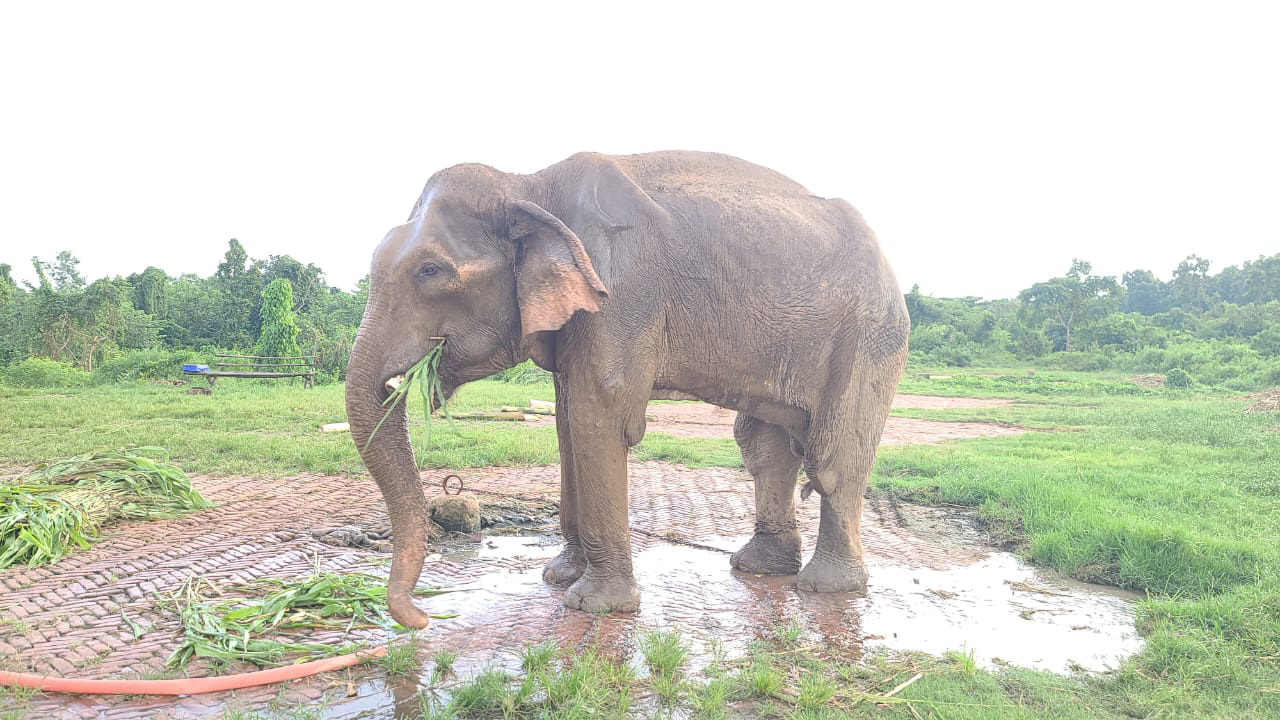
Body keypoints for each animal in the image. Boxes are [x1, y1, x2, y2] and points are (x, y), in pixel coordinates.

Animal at [345, 148, 916, 625]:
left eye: (429, 270)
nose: (423, 617)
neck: (529, 184)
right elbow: (567, 422)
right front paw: (559, 576)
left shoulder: (621, 287)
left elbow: (598, 417)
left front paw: (593, 606)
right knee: (763, 447)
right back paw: (758, 568)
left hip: (870, 334)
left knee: (833, 460)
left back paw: (824, 588)